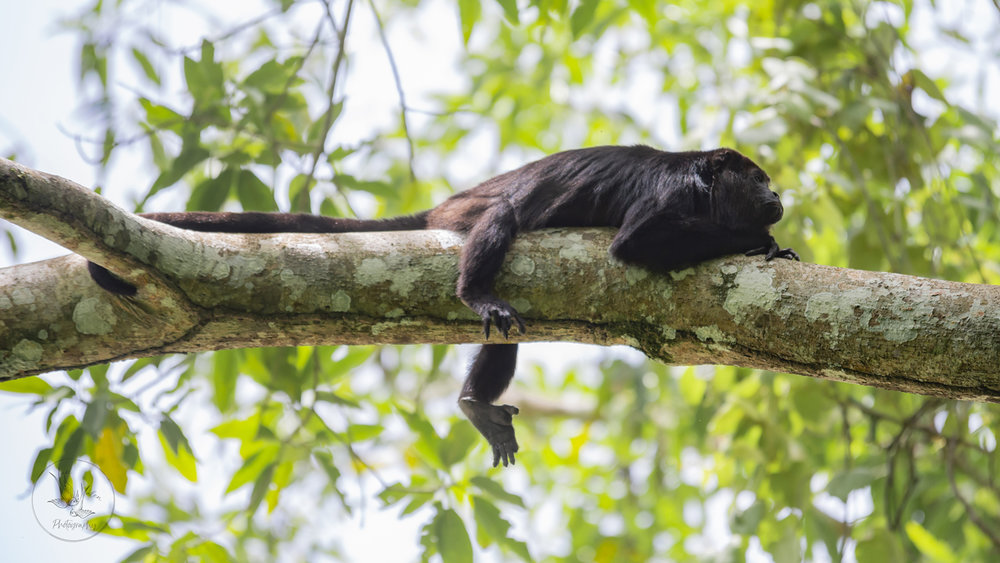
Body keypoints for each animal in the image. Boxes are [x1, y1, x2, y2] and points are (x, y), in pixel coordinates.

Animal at [90, 145, 800, 468]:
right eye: (760, 177)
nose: (779, 196)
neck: (703, 184)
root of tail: (442, 207)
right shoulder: (673, 193)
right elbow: (635, 243)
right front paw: (756, 241)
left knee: (506, 334)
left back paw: (474, 403)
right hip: (472, 215)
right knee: (504, 216)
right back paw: (475, 293)